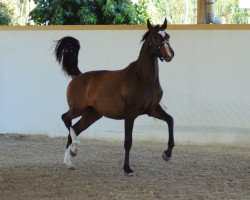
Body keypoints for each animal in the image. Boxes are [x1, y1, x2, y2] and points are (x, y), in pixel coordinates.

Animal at [55, 18, 174, 175]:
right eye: (155, 37)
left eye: (168, 36)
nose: (170, 55)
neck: (142, 78)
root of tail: (78, 76)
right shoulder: (130, 114)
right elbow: (128, 141)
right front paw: (127, 169)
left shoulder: (152, 110)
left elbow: (170, 120)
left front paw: (167, 154)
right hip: (77, 109)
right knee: (65, 118)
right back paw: (74, 148)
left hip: (92, 115)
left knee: (74, 128)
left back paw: (69, 161)